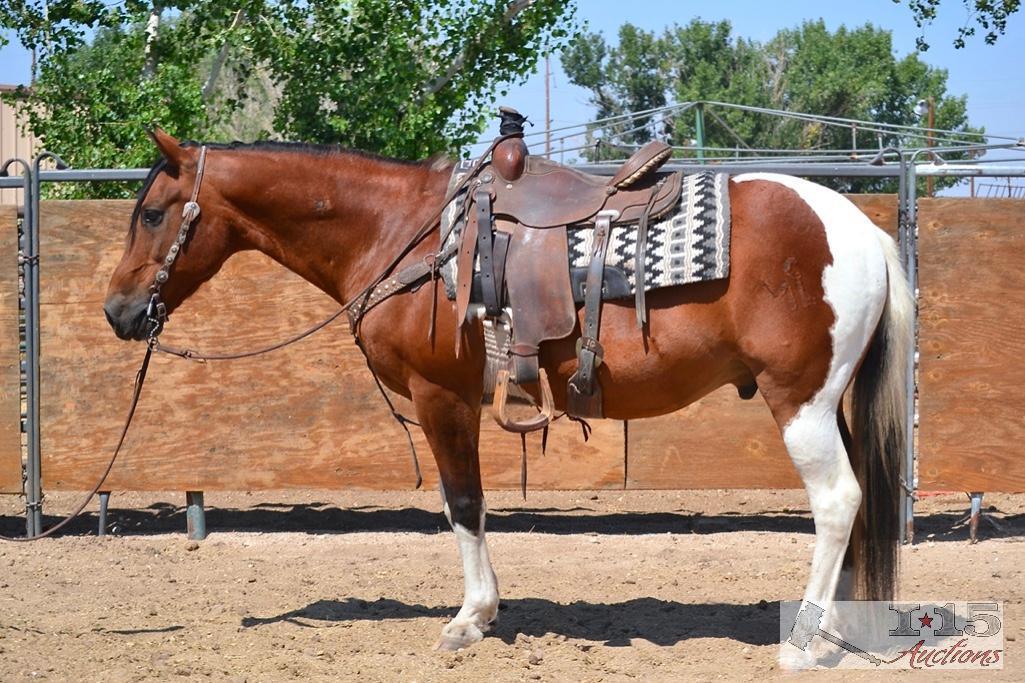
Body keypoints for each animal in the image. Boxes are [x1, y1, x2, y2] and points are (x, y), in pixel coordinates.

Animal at [106, 129, 914, 664]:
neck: (404, 234)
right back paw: (838, 626)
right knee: (855, 502)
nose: (117, 311)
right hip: (826, 403)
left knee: (836, 500)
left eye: (152, 213)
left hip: (799, 401)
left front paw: (471, 617)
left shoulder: (442, 397)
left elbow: (463, 503)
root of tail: (861, 231)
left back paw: (804, 640)